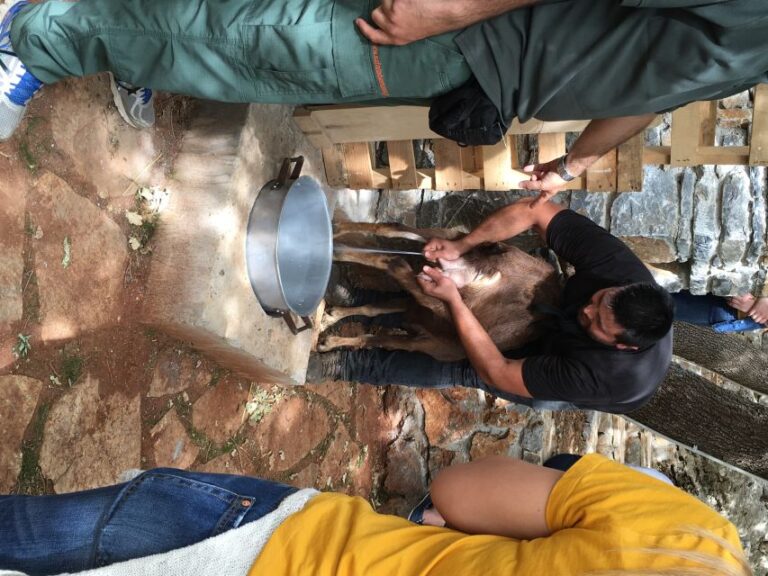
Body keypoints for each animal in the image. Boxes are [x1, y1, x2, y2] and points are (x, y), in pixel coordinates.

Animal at [318, 222, 564, 360]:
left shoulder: (420, 325)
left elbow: (374, 317)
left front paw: (331, 323)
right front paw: (328, 335)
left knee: (393, 245)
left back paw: (337, 240)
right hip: (452, 258)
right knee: (394, 248)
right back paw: (336, 243)